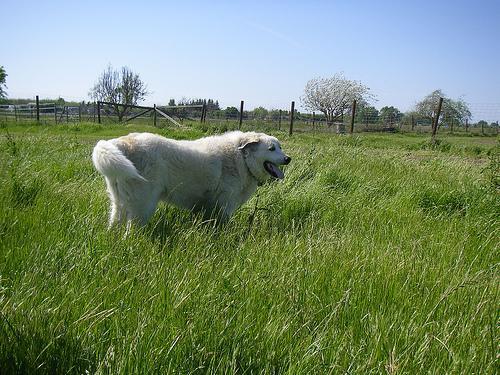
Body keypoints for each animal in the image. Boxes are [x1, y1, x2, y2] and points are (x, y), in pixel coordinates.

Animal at [92, 132, 292, 231]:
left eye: (280, 147)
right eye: (271, 148)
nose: (288, 159)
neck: (241, 158)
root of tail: (120, 143)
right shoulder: (225, 205)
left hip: (119, 203)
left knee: (115, 225)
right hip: (142, 206)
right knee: (131, 232)